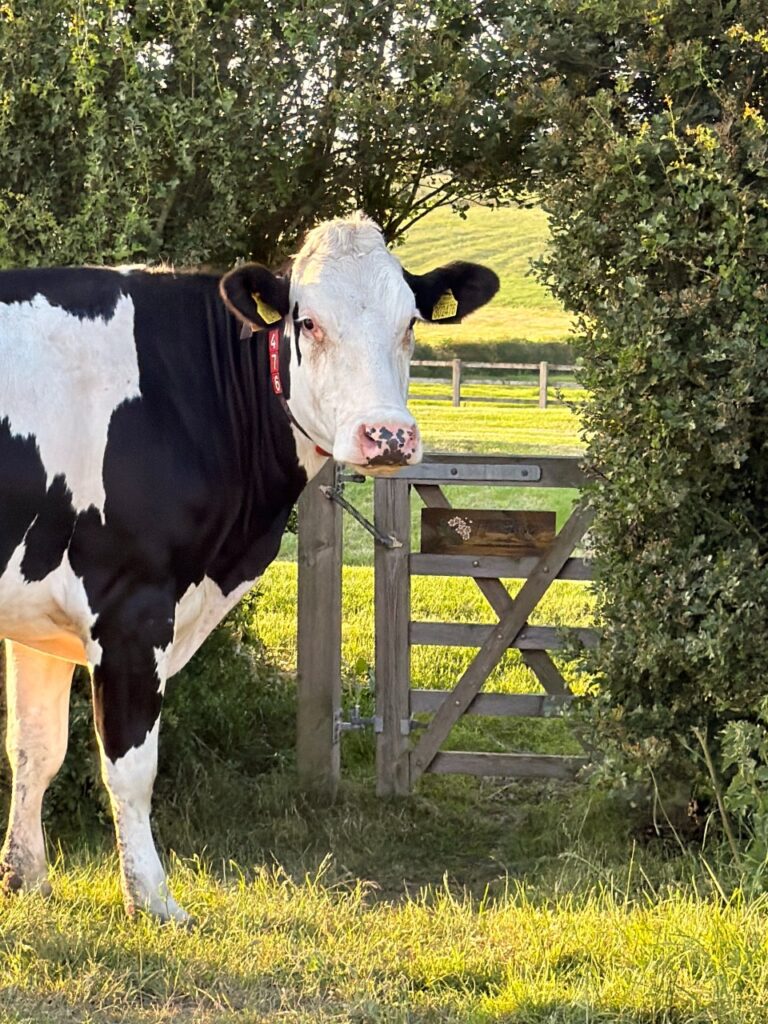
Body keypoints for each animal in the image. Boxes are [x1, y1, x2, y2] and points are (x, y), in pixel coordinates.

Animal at [0, 213, 498, 921]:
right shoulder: (131, 607)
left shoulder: (39, 610)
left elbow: (35, 748)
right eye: (307, 322)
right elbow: (130, 767)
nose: (388, 436)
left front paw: (27, 879)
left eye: (410, 323)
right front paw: (154, 901)